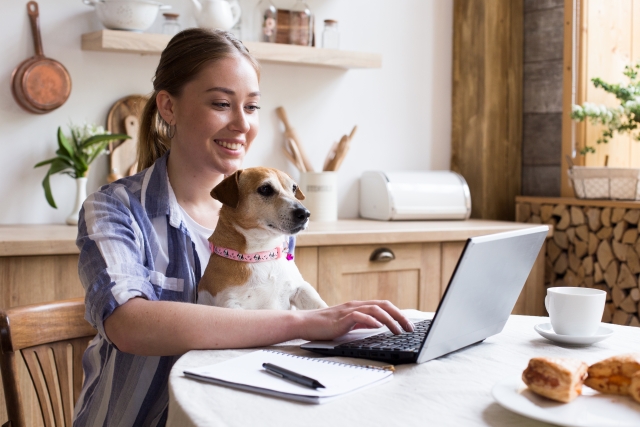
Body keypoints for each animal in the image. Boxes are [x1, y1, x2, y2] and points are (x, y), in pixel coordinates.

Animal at [199, 167, 330, 310]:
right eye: (265, 189)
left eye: (294, 188)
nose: (305, 213)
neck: (263, 254)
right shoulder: (231, 303)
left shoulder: (300, 288)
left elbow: (321, 306)